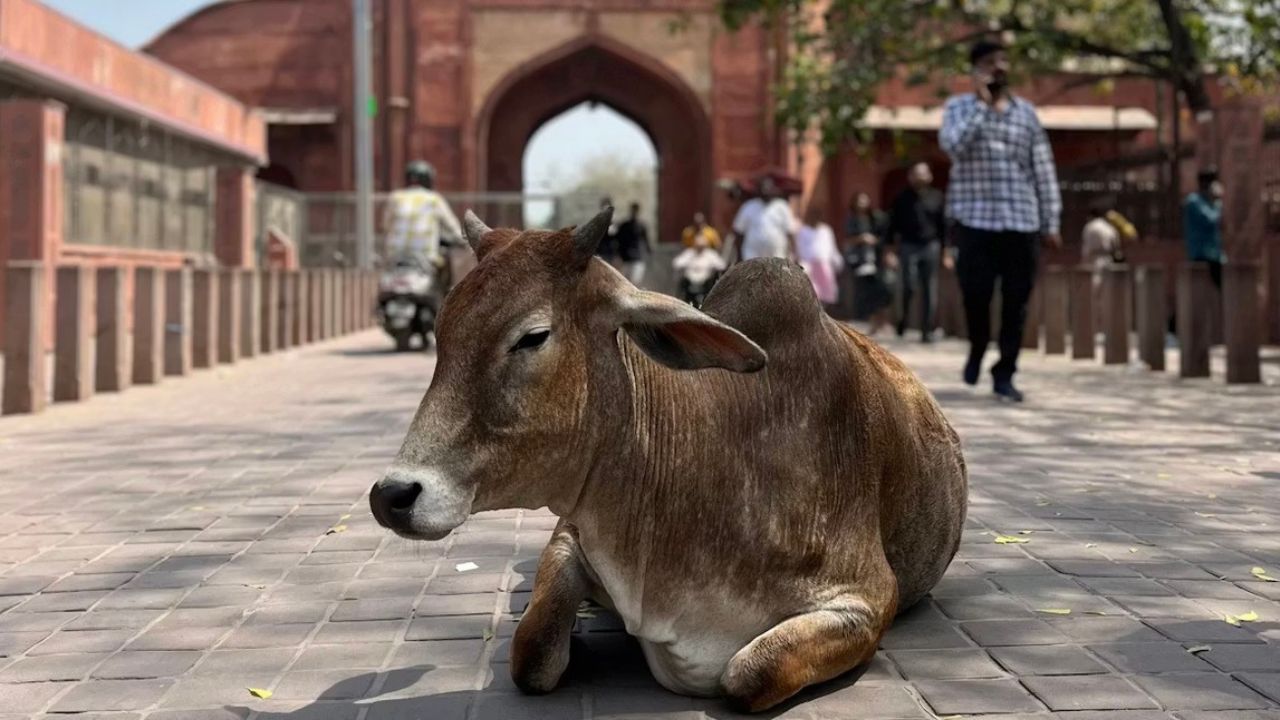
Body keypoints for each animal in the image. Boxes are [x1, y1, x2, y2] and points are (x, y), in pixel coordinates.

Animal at [369, 207, 968, 712]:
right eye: (442, 330)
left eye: (533, 336)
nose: (391, 495)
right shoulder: (571, 534)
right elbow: (533, 651)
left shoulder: (865, 599)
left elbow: (750, 674)